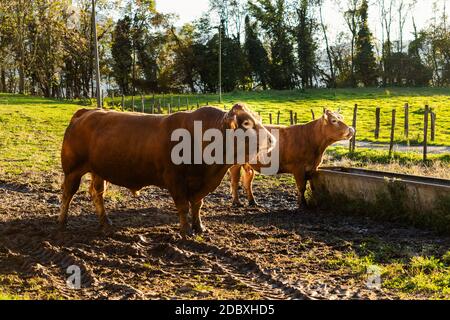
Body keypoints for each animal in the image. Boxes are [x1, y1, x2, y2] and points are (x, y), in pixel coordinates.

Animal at [59, 103, 274, 238]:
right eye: (246, 123)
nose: (272, 139)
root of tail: (86, 111)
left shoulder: (201, 184)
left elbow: (197, 205)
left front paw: (199, 227)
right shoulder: (175, 179)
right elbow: (183, 206)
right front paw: (186, 230)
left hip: (98, 171)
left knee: (97, 194)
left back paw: (105, 222)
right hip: (72, 170)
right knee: (67, 194)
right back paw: (62, 222)